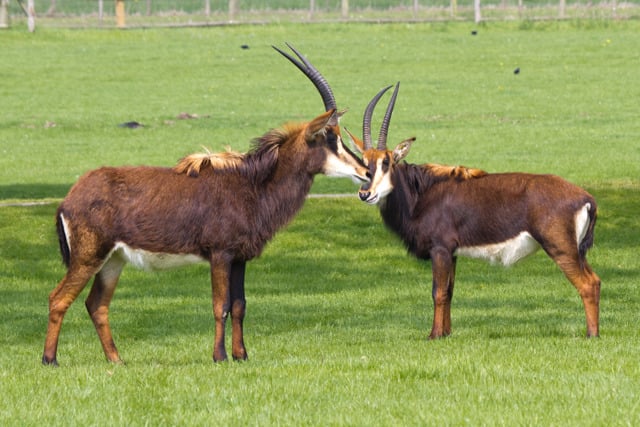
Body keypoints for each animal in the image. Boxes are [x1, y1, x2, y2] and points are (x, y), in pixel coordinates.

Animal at [42, 44, 368, 368]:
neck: (253, 184)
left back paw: (116, 360)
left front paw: (241, 355)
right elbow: (220, 305)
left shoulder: (239, 258)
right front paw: (220, 356)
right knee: (59, 298)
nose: (365, 171)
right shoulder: (220, 254)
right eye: (329, 138)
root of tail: (70, 198)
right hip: (88, 257)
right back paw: (50, 359)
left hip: (113, 260)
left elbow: (239, 305)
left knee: (96, 304)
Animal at [344, 83, 600, 342]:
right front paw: (446, 333)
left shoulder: (440, 249)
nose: (365, 194)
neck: (421, 193)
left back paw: (592, 334)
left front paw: (434, 335)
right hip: (577, 252)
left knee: (586, 284)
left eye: (386, 162)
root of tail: (586, 198)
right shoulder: (453, 253)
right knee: (596, 281)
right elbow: (449, 291)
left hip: (561, 249)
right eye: (363, 161)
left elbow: (437, 292)